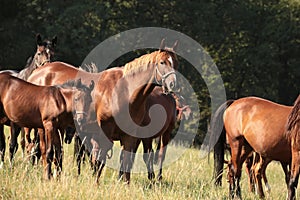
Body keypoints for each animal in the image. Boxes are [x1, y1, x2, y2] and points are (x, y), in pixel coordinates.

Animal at [27, 39, 178, 183]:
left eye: (175, 63)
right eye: (162, 62)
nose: (172, 84)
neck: (125, 91)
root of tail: (36, 73)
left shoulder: (130, 136)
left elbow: (126, 160)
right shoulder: (105, 132)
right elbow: (100, 160)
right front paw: (96, 182)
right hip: (44, 128)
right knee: (43, 149)